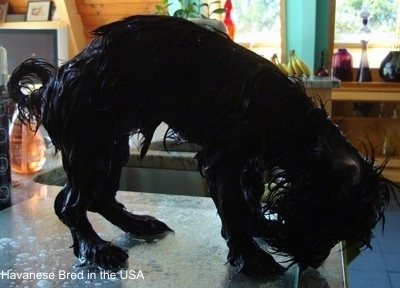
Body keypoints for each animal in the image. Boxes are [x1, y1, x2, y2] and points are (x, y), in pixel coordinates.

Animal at [6, 15, 396, 276]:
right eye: (327, 220)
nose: (314, 262)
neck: (286, 115)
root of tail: (51, 82)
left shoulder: (249, 162)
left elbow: (249, 200)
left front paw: (262, 229)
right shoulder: (225, 159)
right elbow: (236, 207)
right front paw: (252, 256)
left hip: (113, 146)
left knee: (99, 198)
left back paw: (138, 225)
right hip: (92, 148)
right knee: (69, 205)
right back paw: (97, 248)